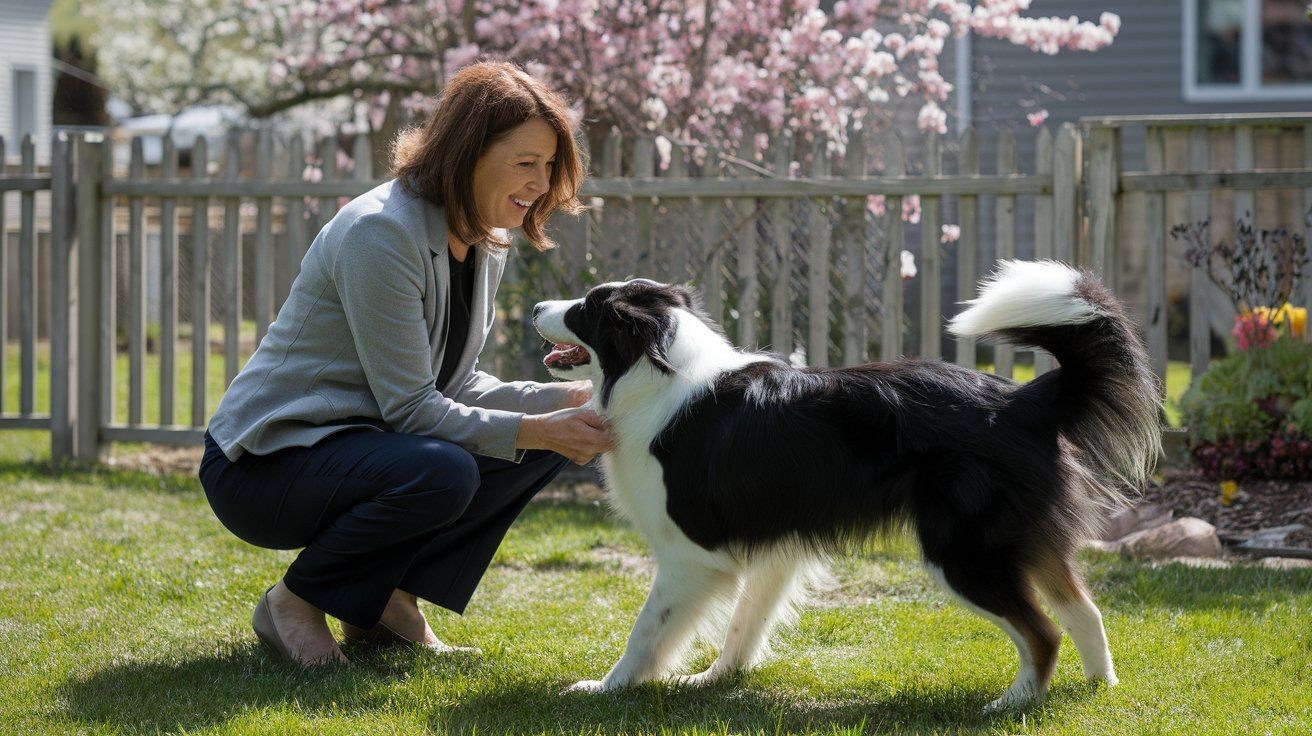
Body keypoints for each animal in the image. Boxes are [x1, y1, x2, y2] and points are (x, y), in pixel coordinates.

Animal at [530, 261, 1159, 708]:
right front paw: (714, 679)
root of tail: (1023, 399)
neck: (655, 370)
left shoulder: (690, 556)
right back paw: (1098, 689)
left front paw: (608, 688)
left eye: (586, 309)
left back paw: (1012, 705)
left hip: (963, 552)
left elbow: (646, 631)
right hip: (1021, 541)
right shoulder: (771, 547)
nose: (535, 304)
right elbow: (742, 625)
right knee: (1084, 611)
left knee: (1043, 633)